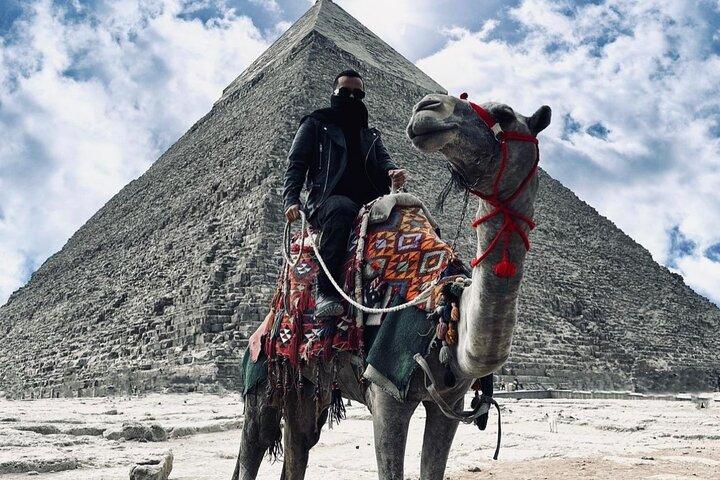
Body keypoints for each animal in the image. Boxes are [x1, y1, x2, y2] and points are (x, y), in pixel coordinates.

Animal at [232, 93, 551, 480]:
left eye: (503, 114)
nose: (427, 108)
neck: (445, 309)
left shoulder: (450, 405)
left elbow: (432, 468)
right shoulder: (385, 394)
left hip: (306, 390)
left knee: (298, 443)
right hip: (262, 379)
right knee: (253, 445)